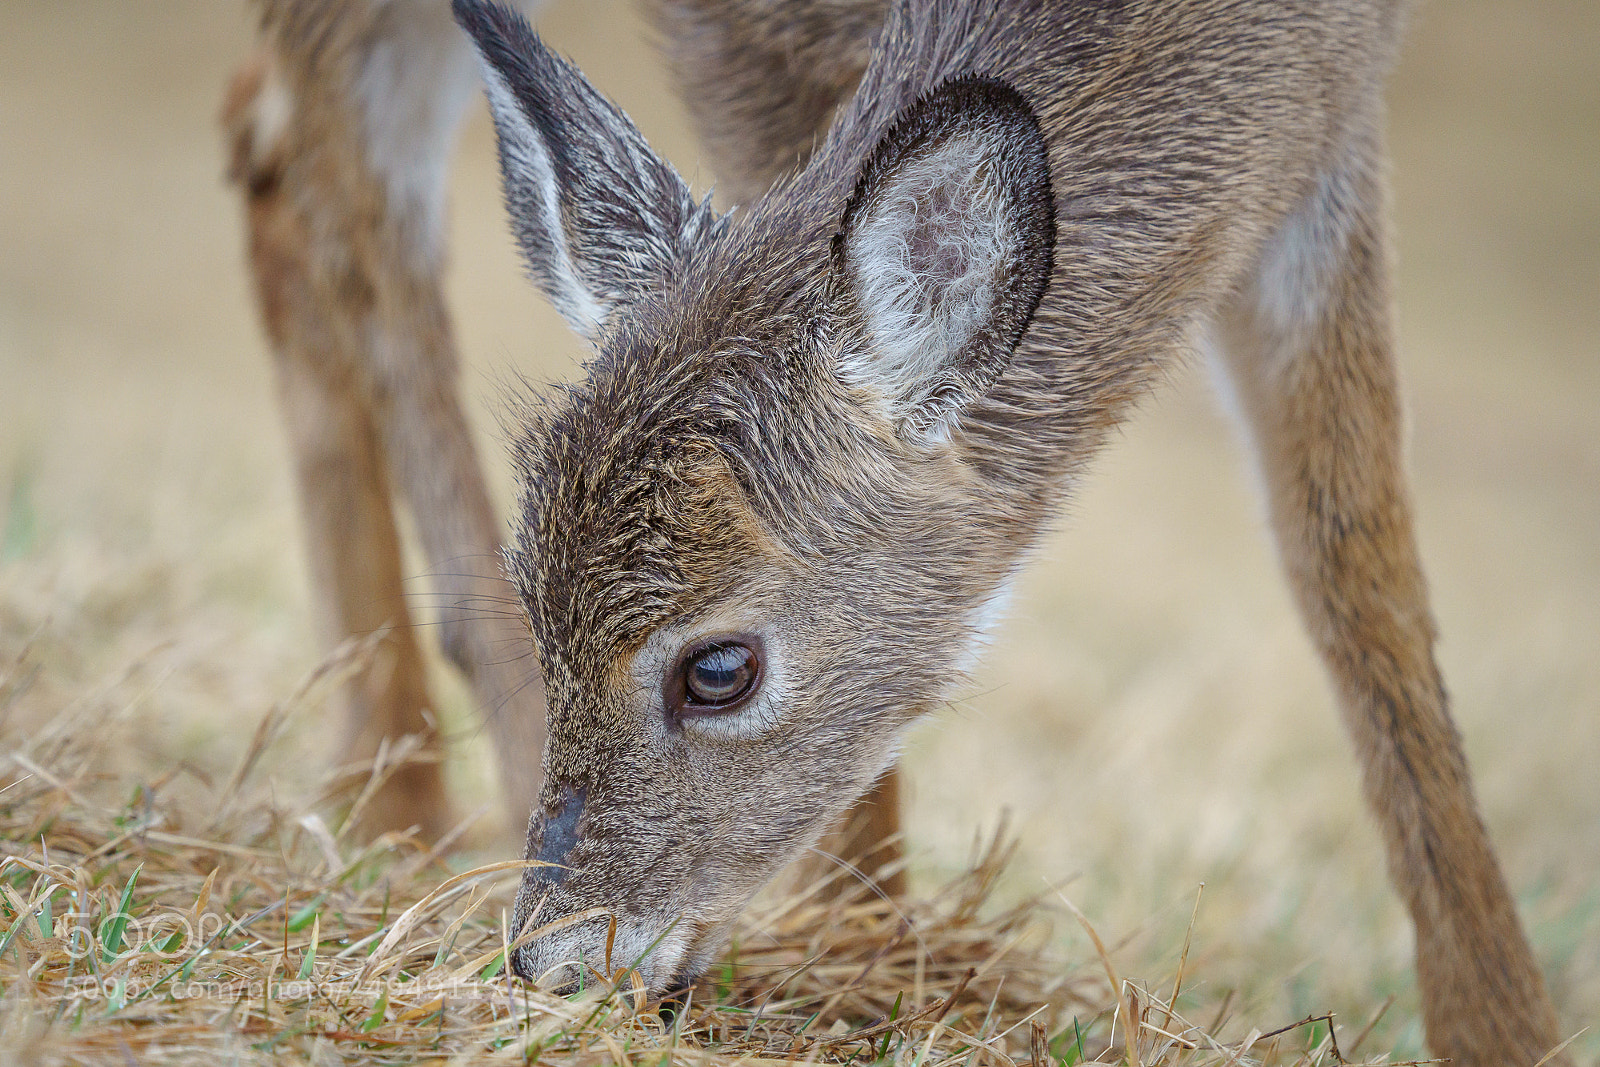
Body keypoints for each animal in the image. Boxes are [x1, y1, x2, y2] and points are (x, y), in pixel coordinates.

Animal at [220, 0, 1571, 1064]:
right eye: (537, 604)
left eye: (719, 667)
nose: (552, 956)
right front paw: (862, 947)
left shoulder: (1330, 110)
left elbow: (1354, 555)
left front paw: (1504, 1023)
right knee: (345, 170)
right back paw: (409, 792)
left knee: (265, 135)